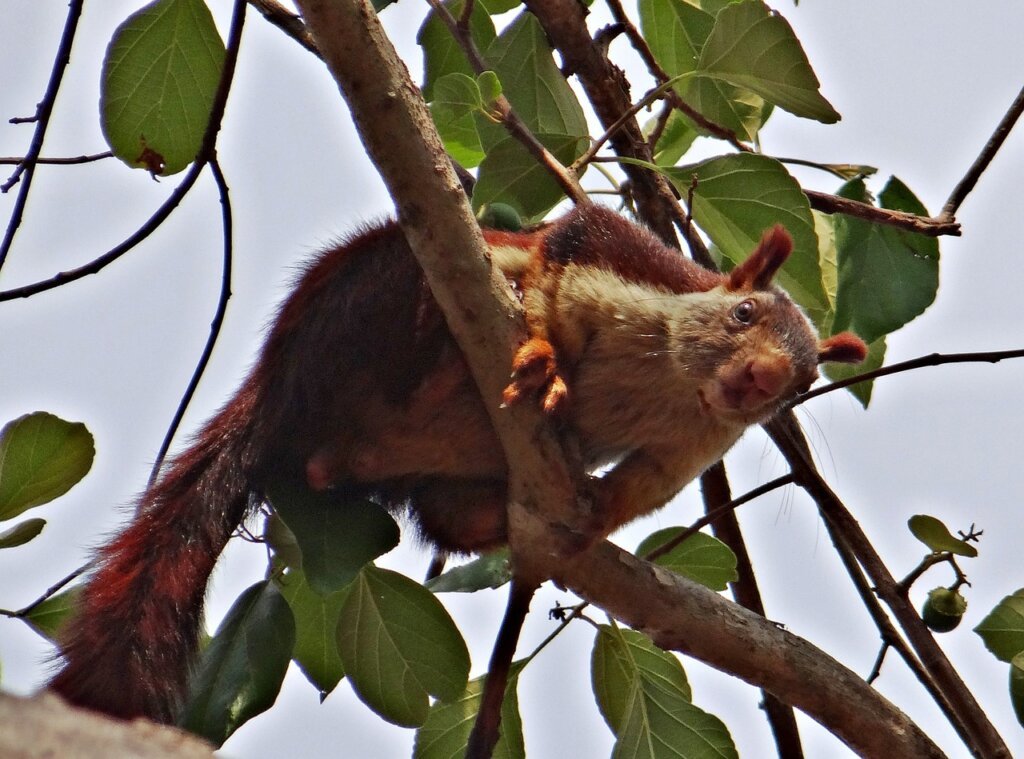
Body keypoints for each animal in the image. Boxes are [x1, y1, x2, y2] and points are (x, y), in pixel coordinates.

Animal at [48, 203, 867, 723]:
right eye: (743, 313)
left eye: (802, 384)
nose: (761, 380)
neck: (675, 386)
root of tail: (275, 396)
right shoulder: (620, 257)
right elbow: (557, 266)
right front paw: (544, 353)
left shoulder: (691, 446)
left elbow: (642, 487)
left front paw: (597, 515)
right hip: (376, 299)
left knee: (438, 516)